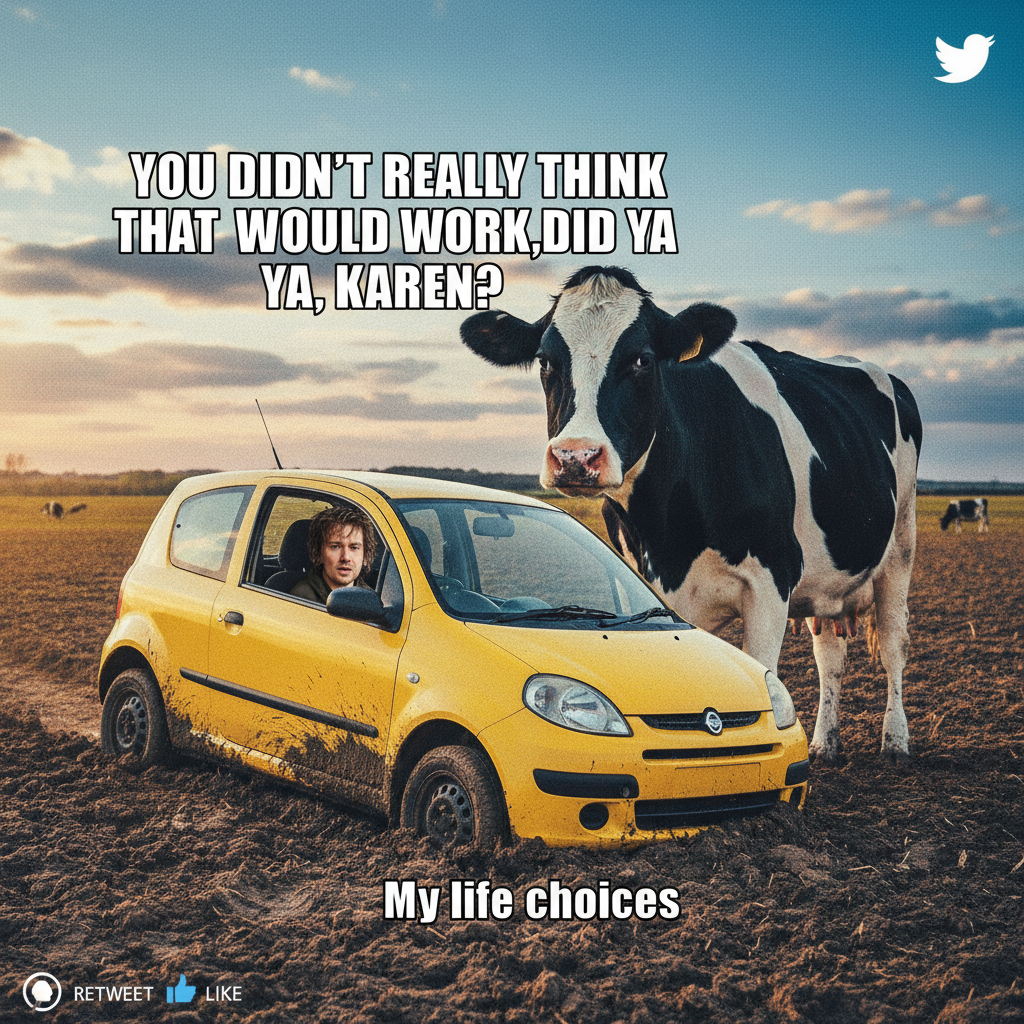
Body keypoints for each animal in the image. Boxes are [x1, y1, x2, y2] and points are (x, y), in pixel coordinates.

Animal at [461, 266, 922, 764]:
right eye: (546, 361)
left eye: (642, 359)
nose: (575, 457)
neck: (667, 534)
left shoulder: (771, 578)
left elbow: (763, 675)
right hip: (831, 576)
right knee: (830, 652)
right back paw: (824, 744)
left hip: (901, 541)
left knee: (893, 642)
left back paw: (896, 741)